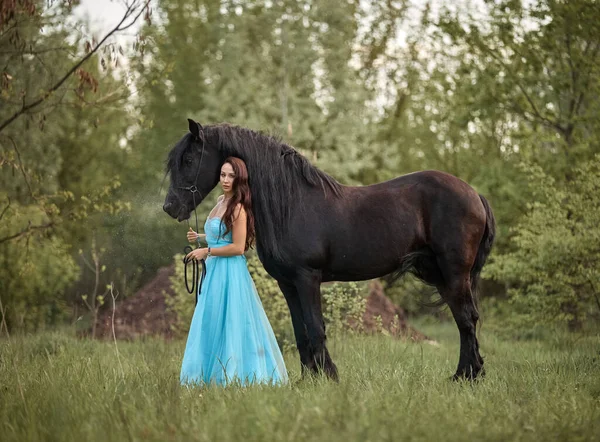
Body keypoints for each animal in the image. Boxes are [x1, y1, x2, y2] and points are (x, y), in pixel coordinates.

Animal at [162, 119, 494, 382]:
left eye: (189, 159)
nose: (170, 207)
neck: (291, 203)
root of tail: (474, 194)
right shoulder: (288, 283)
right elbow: (300, 332)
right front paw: (307, 379)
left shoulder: (307, 278)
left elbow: (315, 327)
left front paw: (328, 376)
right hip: (442, 274)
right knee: (465, 318)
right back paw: (469, 372)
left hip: (454, 273)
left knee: (467, 319)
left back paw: (466, 376)